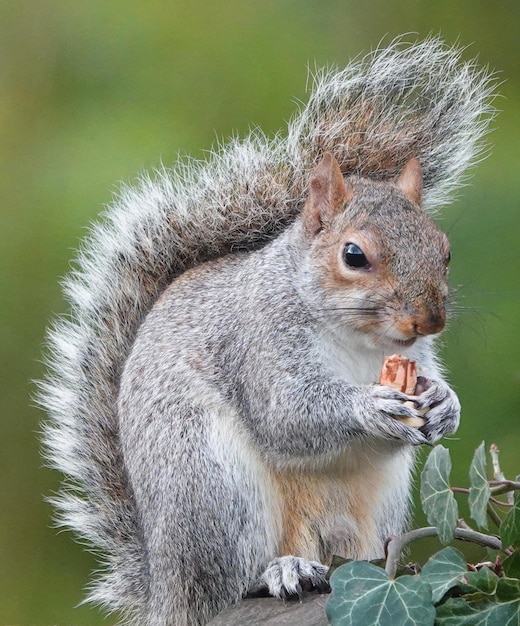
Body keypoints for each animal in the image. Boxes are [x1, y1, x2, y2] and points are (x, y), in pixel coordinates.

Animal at [38, 37, 494, 624]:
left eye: (445, 251)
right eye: (354, 255)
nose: (429, 320)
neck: (361, 342)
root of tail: (167, 592)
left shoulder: (417, 355)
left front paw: (444, 403)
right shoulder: (256, 342)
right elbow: (286, 414)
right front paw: (368, 406)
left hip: (377, 507)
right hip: (210, 484)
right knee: (231, 583)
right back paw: (279, 570)